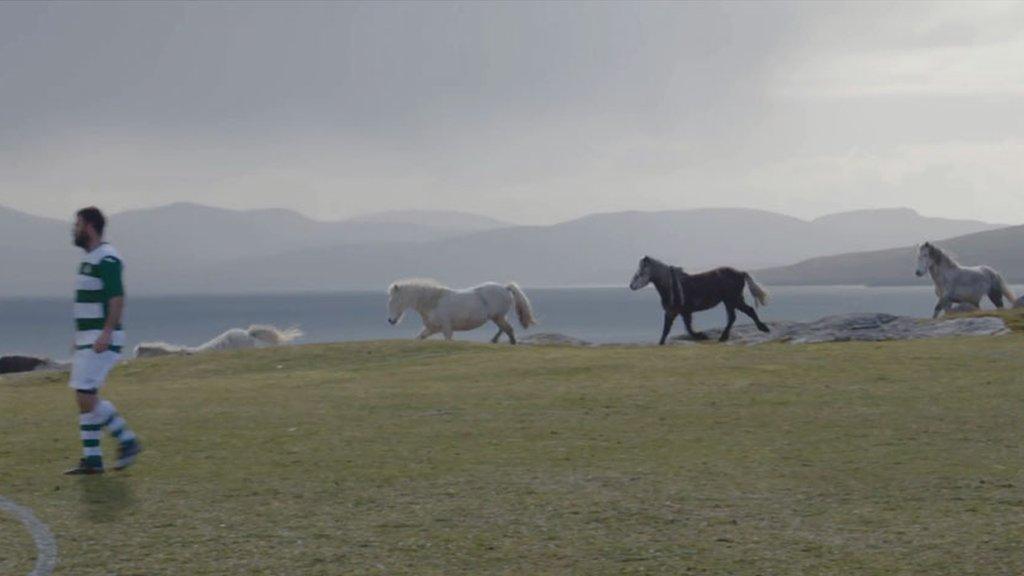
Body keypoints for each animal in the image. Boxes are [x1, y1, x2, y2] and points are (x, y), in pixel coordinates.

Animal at [387, 278, 540, 342]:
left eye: (394, 301)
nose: (390, 320)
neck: (433, 302)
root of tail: (505, 288)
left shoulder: (447, 328)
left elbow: (448, 340)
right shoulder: (431, 329)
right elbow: (419, 338)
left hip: (498, 316)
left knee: (508, 329)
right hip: (497, 317)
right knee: (506, 328)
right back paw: (496, 341)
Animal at [626, 254, 770, 342]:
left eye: (641, 272)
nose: (631, 286)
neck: (672, 286)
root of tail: (740, 273)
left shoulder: (682, 312)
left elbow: (687, 329)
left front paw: (702, 336)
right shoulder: (674, 313)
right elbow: (666, 331)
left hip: (734, 299)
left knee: (748, 311)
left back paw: (763, 328)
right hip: (729, 301)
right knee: (732, 317)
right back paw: (723, 337)